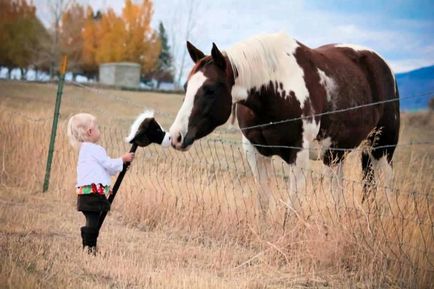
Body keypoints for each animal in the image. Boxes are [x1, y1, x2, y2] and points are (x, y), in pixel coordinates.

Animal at [169, 32, 400, 215]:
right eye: (186, 86)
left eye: (210, 89)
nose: (176, 136)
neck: (275, 89)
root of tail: (382, 64)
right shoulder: (255, 151)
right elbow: (263, 202)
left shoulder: (298, 154)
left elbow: (292, 207)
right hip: (336, 154)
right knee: (342, 193)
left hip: (382, 148)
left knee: (388, 188)